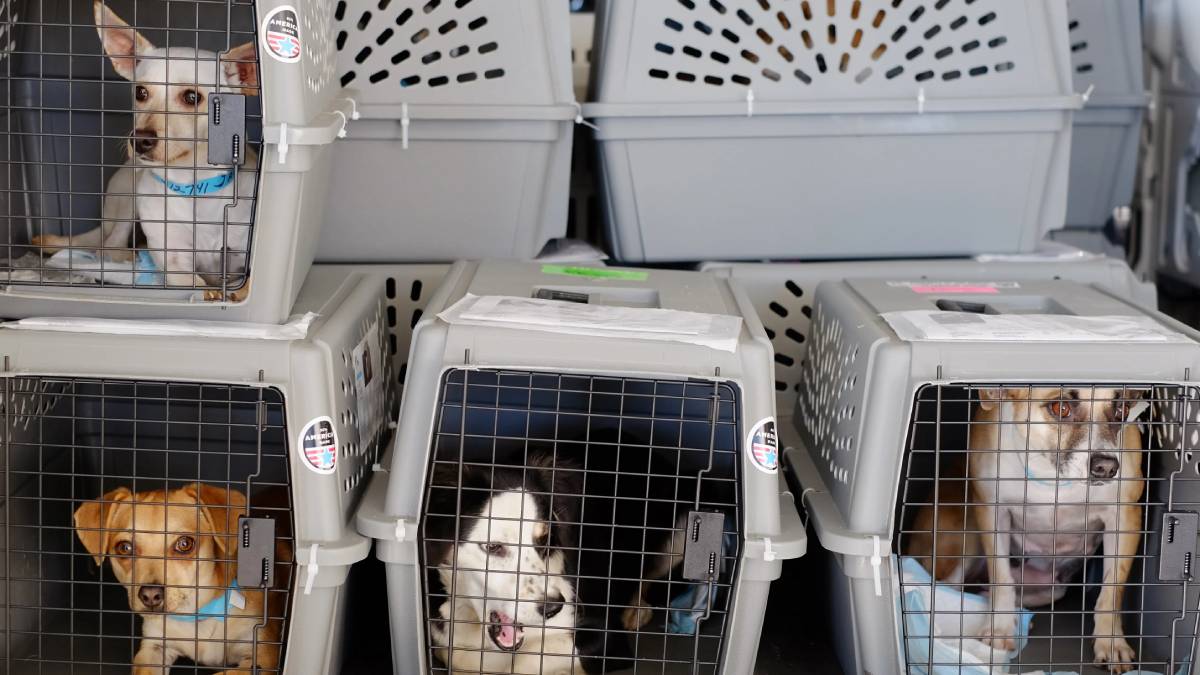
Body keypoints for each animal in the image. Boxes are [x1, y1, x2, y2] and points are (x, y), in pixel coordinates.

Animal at [75, 480, 290, 667]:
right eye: (125, 548)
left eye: (184, 544)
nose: (150, 595)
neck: (195, 615)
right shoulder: (153, 648)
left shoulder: (262, 656)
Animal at [907, 386, 1142, 667]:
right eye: (1060, 407)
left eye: (1122, 410)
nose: (1106, 467)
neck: (1052, 476)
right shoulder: (992, 512)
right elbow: (1001, 578)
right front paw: (1000, 629)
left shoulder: (1125, 517)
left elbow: (1111, 591)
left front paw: (1111, 642)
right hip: (965, 539)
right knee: (948, 589)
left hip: (1054, 585)